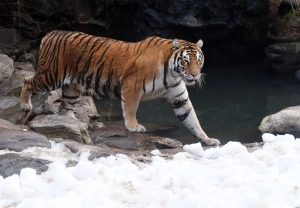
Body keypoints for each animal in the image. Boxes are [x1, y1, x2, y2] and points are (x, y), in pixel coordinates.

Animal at [19, 30, 220, 145]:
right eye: (185, 60)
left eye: (198, 60)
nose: (194, 75)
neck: (173, 74)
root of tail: (50, 33)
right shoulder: (132, 86)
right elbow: (130, 109)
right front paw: (133, 127)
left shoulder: (179, 98)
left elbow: (193, 120)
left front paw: (207, 139)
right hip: (50, 76)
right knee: (27, 81)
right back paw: (25, 105)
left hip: (71, 89)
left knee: (64, 107)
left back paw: (75, 123)